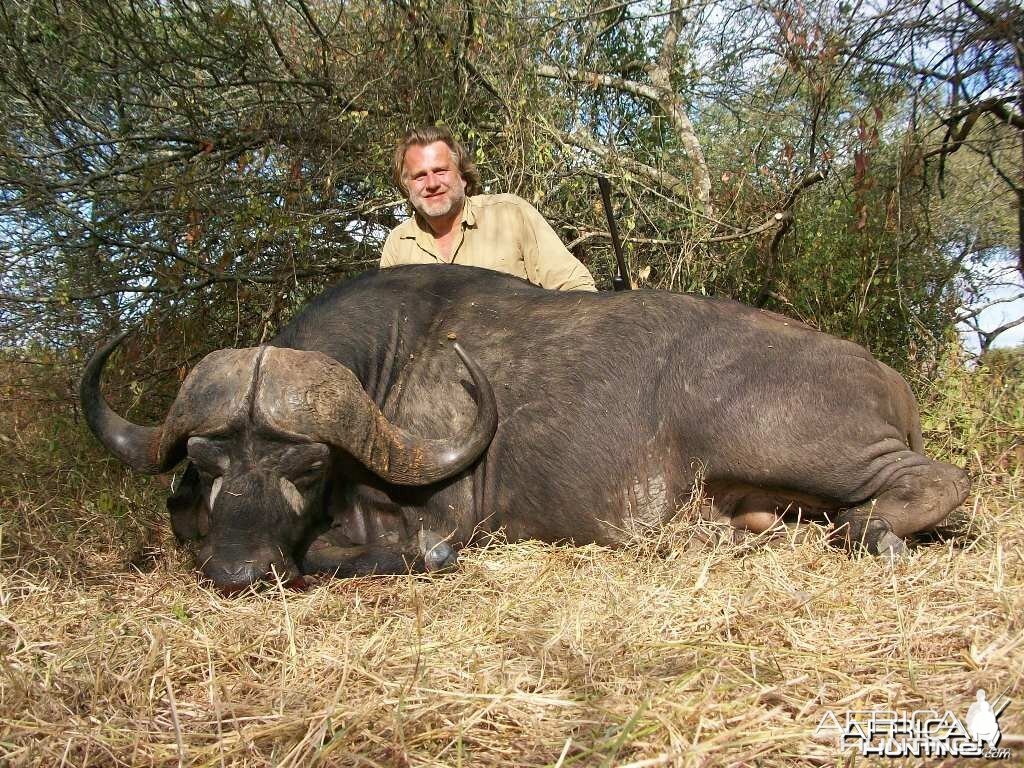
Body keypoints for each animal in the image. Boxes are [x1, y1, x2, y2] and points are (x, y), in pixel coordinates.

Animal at [79, 264, 966, 589]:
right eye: (206, 461)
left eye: (306, 467)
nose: (239, 571)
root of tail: (885, 376)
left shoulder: (440, 520)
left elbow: (370, 555)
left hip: (802, 447)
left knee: (940, 483)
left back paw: (873, 532)